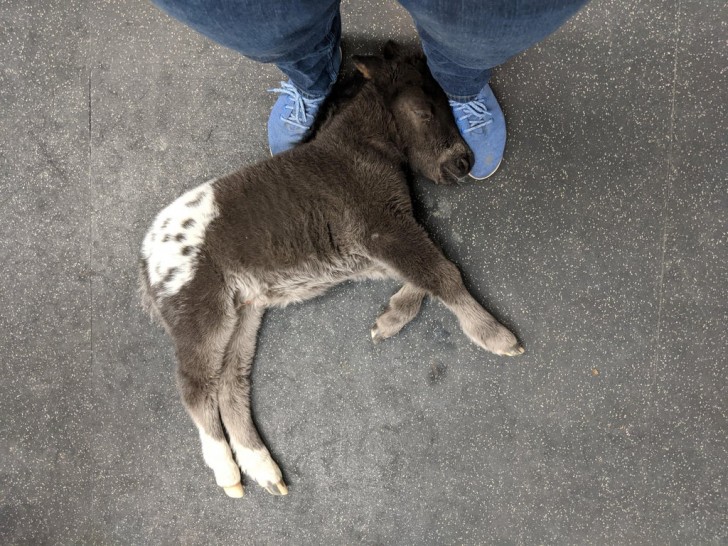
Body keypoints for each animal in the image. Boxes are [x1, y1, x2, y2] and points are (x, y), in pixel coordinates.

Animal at [139, 43, 524, 498]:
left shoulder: (369, 248)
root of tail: (146, 259)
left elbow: (425, 276)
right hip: (202, 314)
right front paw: (495, 336)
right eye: (425, 110)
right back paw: (227, 471)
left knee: (231, 386)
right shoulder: (379, 228)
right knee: (197, 390)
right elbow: (442, 273)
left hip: (243, 314)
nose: (463, 162)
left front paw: (389, 320)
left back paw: (262, 468)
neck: (360, 147)